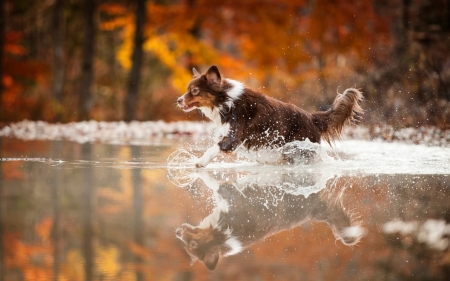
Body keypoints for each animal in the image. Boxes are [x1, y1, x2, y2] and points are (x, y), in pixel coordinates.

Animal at [174, 168, 364, 270]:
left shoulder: (228, 192)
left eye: (193, 245)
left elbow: (209, 180)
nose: (176, 232)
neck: (221, 237)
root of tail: (312, 211)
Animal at [178, 65, 364, 166]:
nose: (179, 100)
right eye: (188, 90)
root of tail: (312, 118)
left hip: (301, 149)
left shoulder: (233, 137)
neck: (226, 100)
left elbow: (213, 148)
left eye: (195, 91)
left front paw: (200, 162)